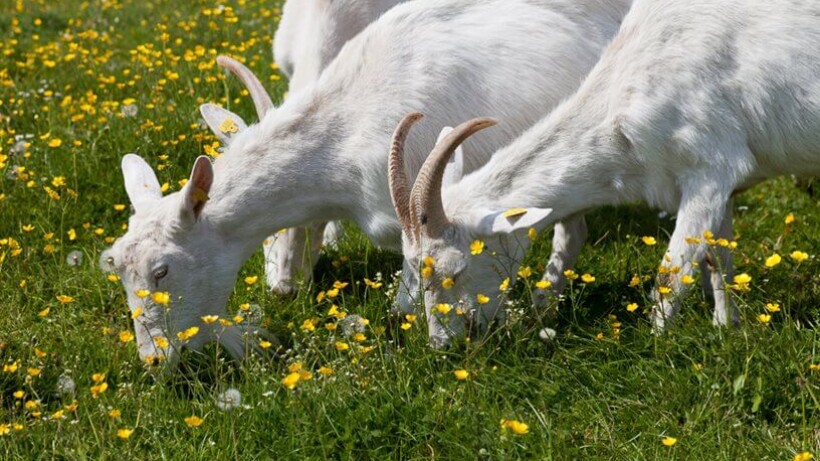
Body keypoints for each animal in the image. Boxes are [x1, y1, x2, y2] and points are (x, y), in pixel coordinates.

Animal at [390, 0, 820, 346]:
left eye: (455, 270)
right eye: (412, 267)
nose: (441, 345)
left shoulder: (710, 169)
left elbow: (670, 276)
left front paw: (658, 347)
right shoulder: (719, 186)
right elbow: (718, 259)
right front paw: (727, 327)